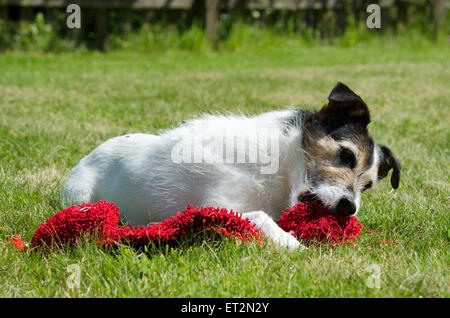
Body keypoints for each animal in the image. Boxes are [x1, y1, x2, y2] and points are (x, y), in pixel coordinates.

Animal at [60, 82, 400, 251]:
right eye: (346, 155)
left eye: (368, 186)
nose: (349, 207)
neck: (278, 168)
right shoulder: (218, 204)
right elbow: (260, 217)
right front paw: (292, 245)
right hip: (79, 194)